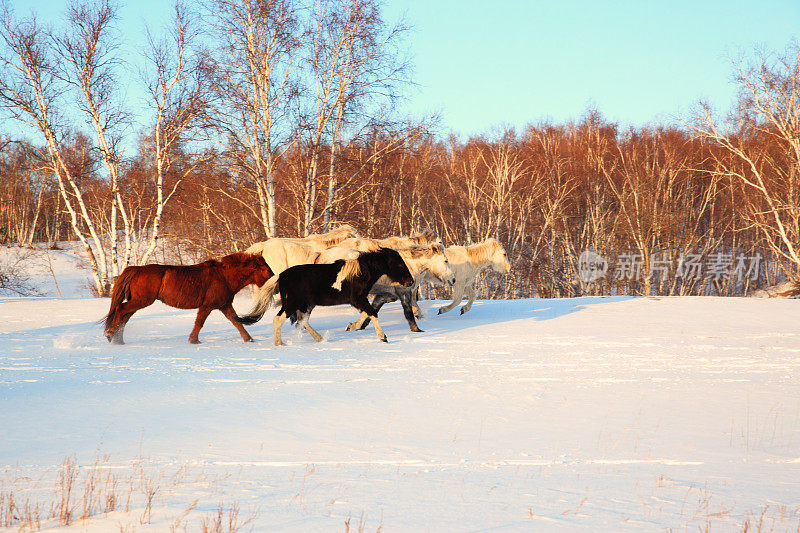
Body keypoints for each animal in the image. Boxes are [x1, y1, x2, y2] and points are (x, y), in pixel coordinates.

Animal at [103, 252, 274, 344]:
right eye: (266, 269)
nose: (276, 281)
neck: (224, 276)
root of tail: (137, 269)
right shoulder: (207, 306)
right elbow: (199, 323)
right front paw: (194, 340)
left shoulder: (224, 306)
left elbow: (237, 323)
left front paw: (249, 339)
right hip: (141, 301)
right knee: (120, 310)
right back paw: (110, 334)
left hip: (138, 302)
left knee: (124, 317)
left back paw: (118, 339)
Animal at [236, 248, 412, 344]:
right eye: (399, 264)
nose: (410, 281)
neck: (359, 274)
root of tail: (281, 275)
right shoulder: (357, 299)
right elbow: (372, 313)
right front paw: (383, 337)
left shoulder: (357, 300)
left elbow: (367, 313)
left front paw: (351, 326)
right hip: (292, 303)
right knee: (278, 320)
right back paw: (280, 344)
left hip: (305, 304)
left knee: (302, 321)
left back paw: (320, 339)